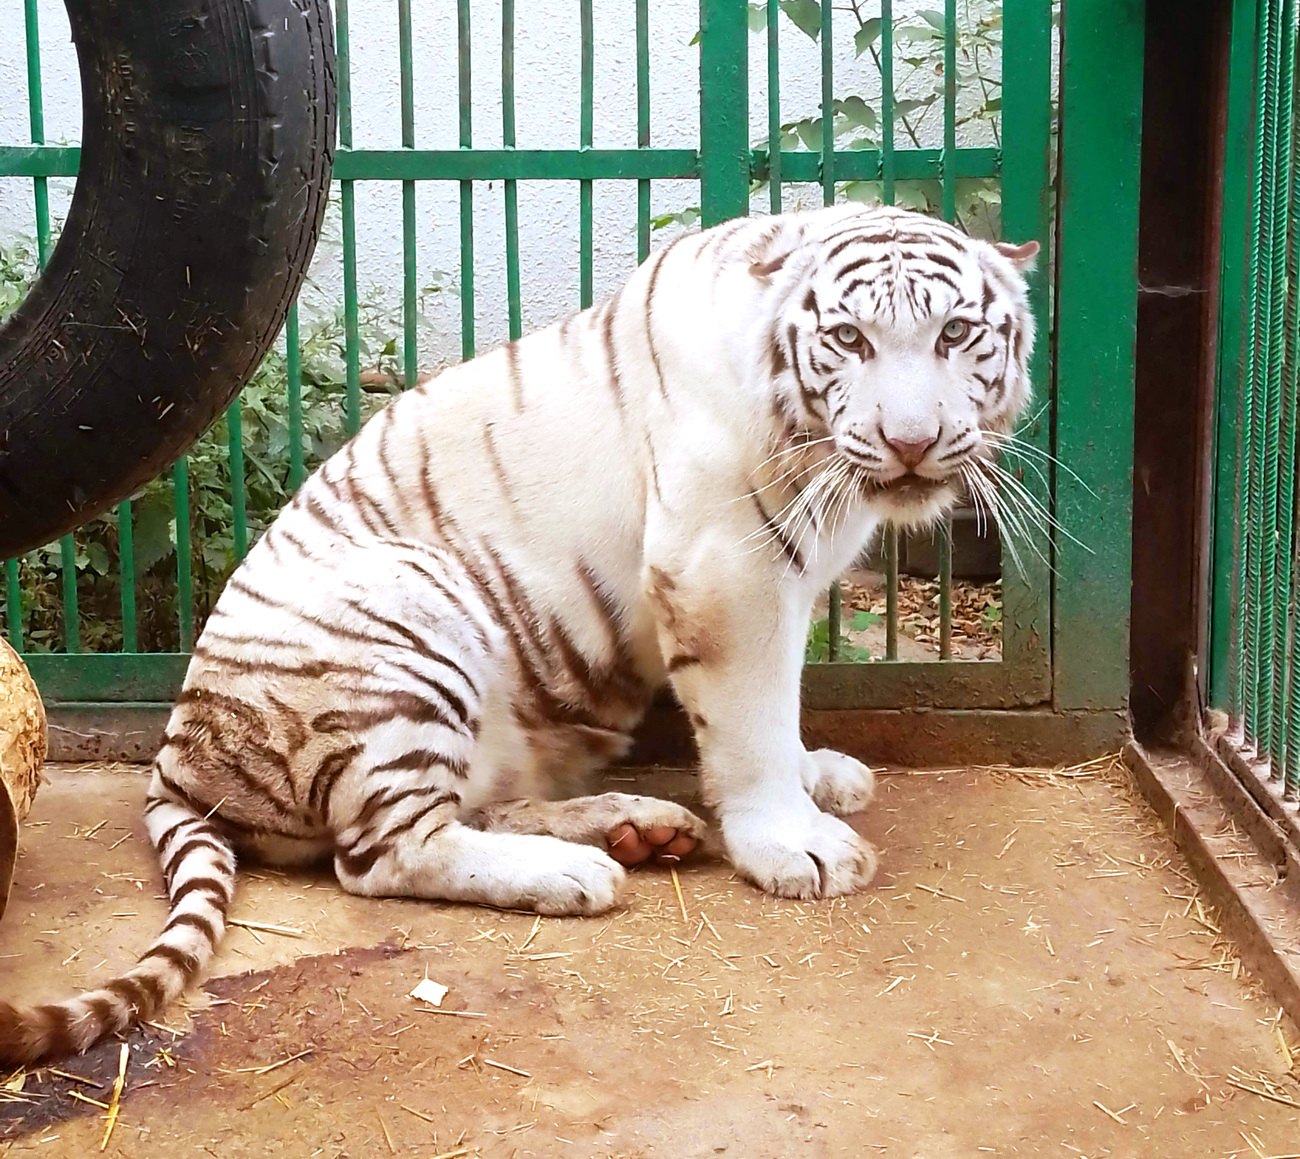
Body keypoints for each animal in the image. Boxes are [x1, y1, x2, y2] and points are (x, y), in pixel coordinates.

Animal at [0, 203, 1034, 1065]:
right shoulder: (722, 563)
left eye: (954, 333)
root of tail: (178, 752)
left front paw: (818, 775)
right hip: (412, 615)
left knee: (464, 807)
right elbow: (750, 714)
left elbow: (783, 702)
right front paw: (795, 844)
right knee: (383, 854)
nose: (910, 441)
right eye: (849, 339)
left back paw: (635, 827)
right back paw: (579, 870)